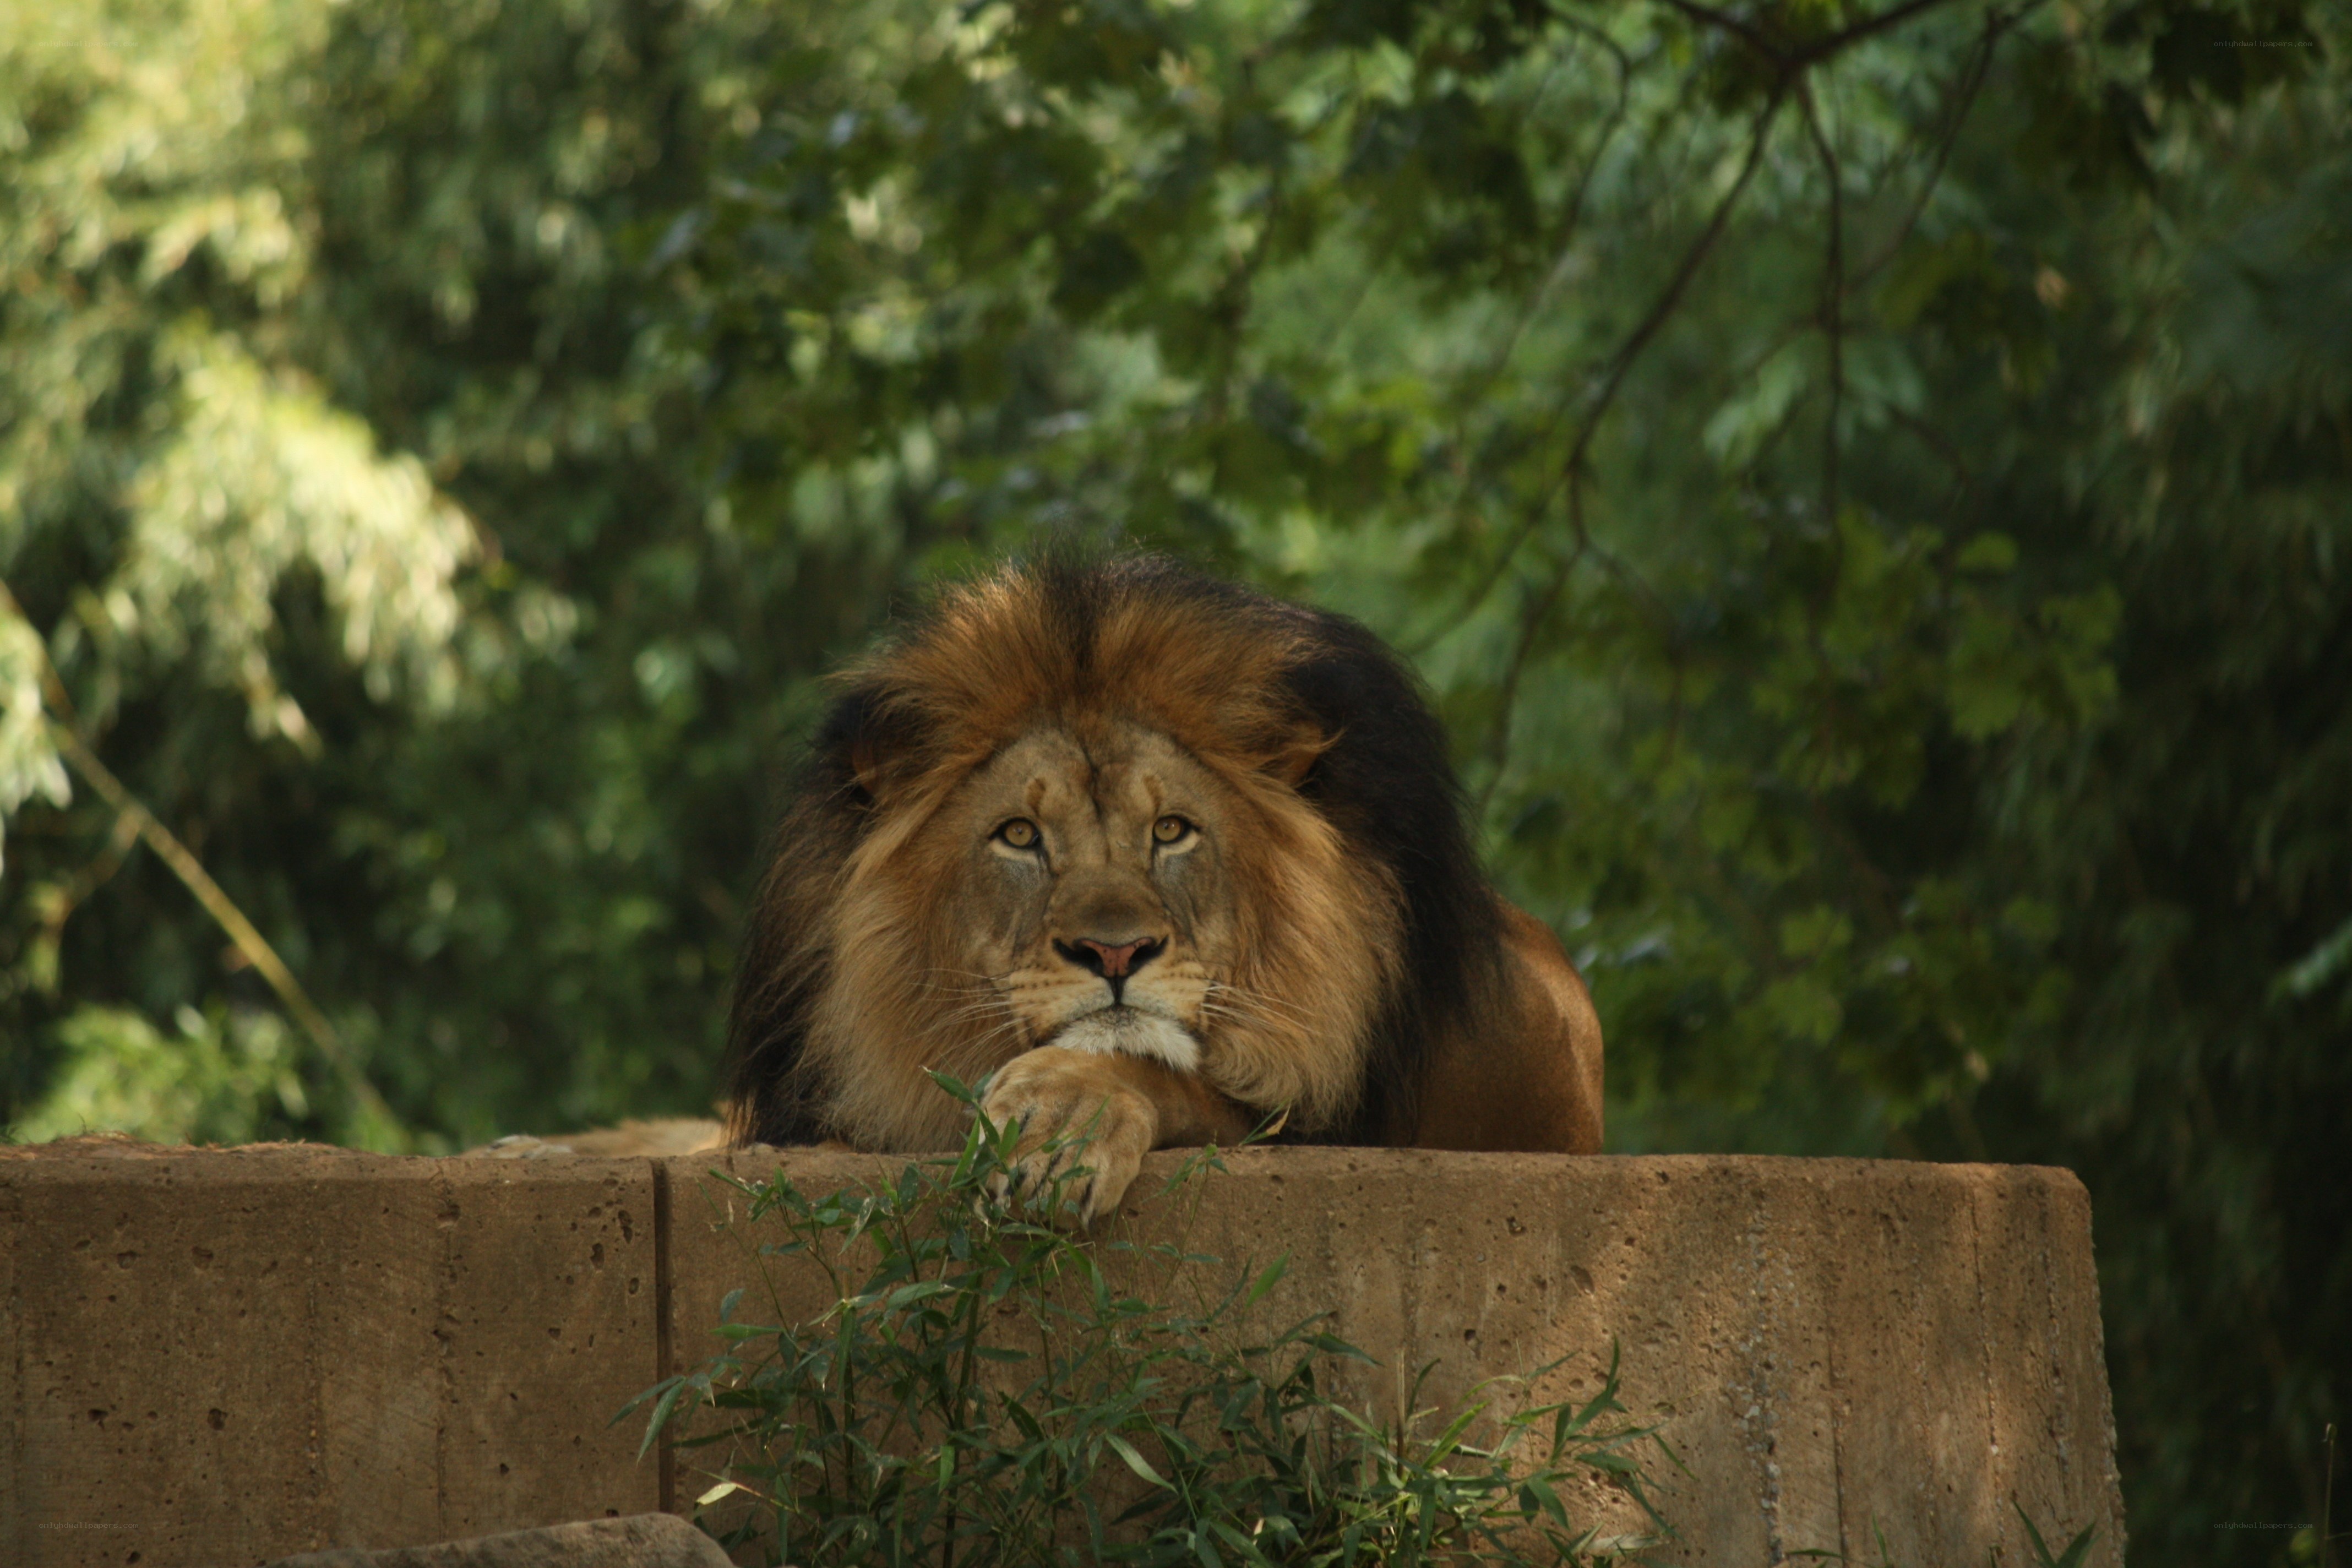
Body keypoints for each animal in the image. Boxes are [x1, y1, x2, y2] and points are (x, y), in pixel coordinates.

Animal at [711, 555, 1602, 1222]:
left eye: (1171, 830)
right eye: (1020, 836)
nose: (1116, 952)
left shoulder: (1333, 1121)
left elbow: (1163, 1073)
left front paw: (1058, 1129)